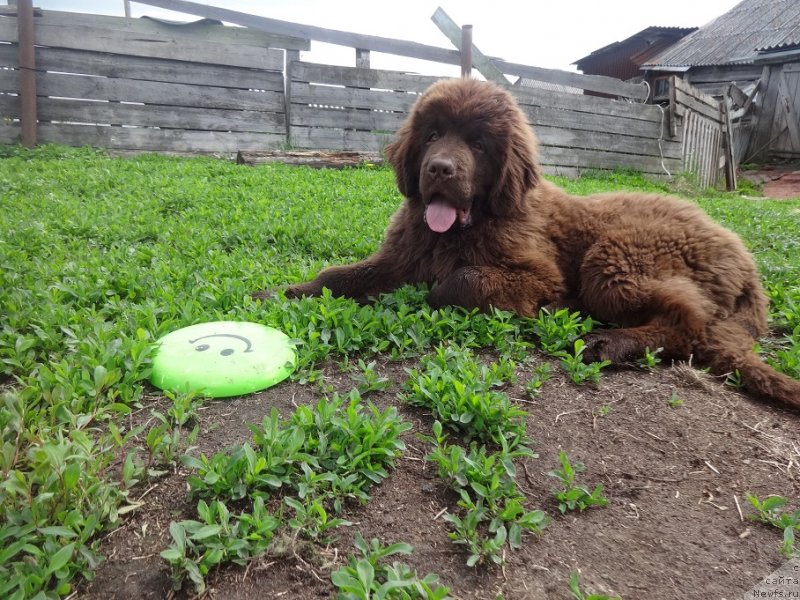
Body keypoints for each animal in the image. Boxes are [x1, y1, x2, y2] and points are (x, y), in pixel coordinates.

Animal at [270, 77, 800, 408]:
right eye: (434, 134)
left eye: (479, 144)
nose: (439, 169)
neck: (461, 229)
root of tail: (746, 263)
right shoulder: (401, 256)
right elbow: (341, 274)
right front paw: (285, 291)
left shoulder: (539, 274)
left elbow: (456, 282)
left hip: (614, 257)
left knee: (689, 323)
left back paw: (609, 341)